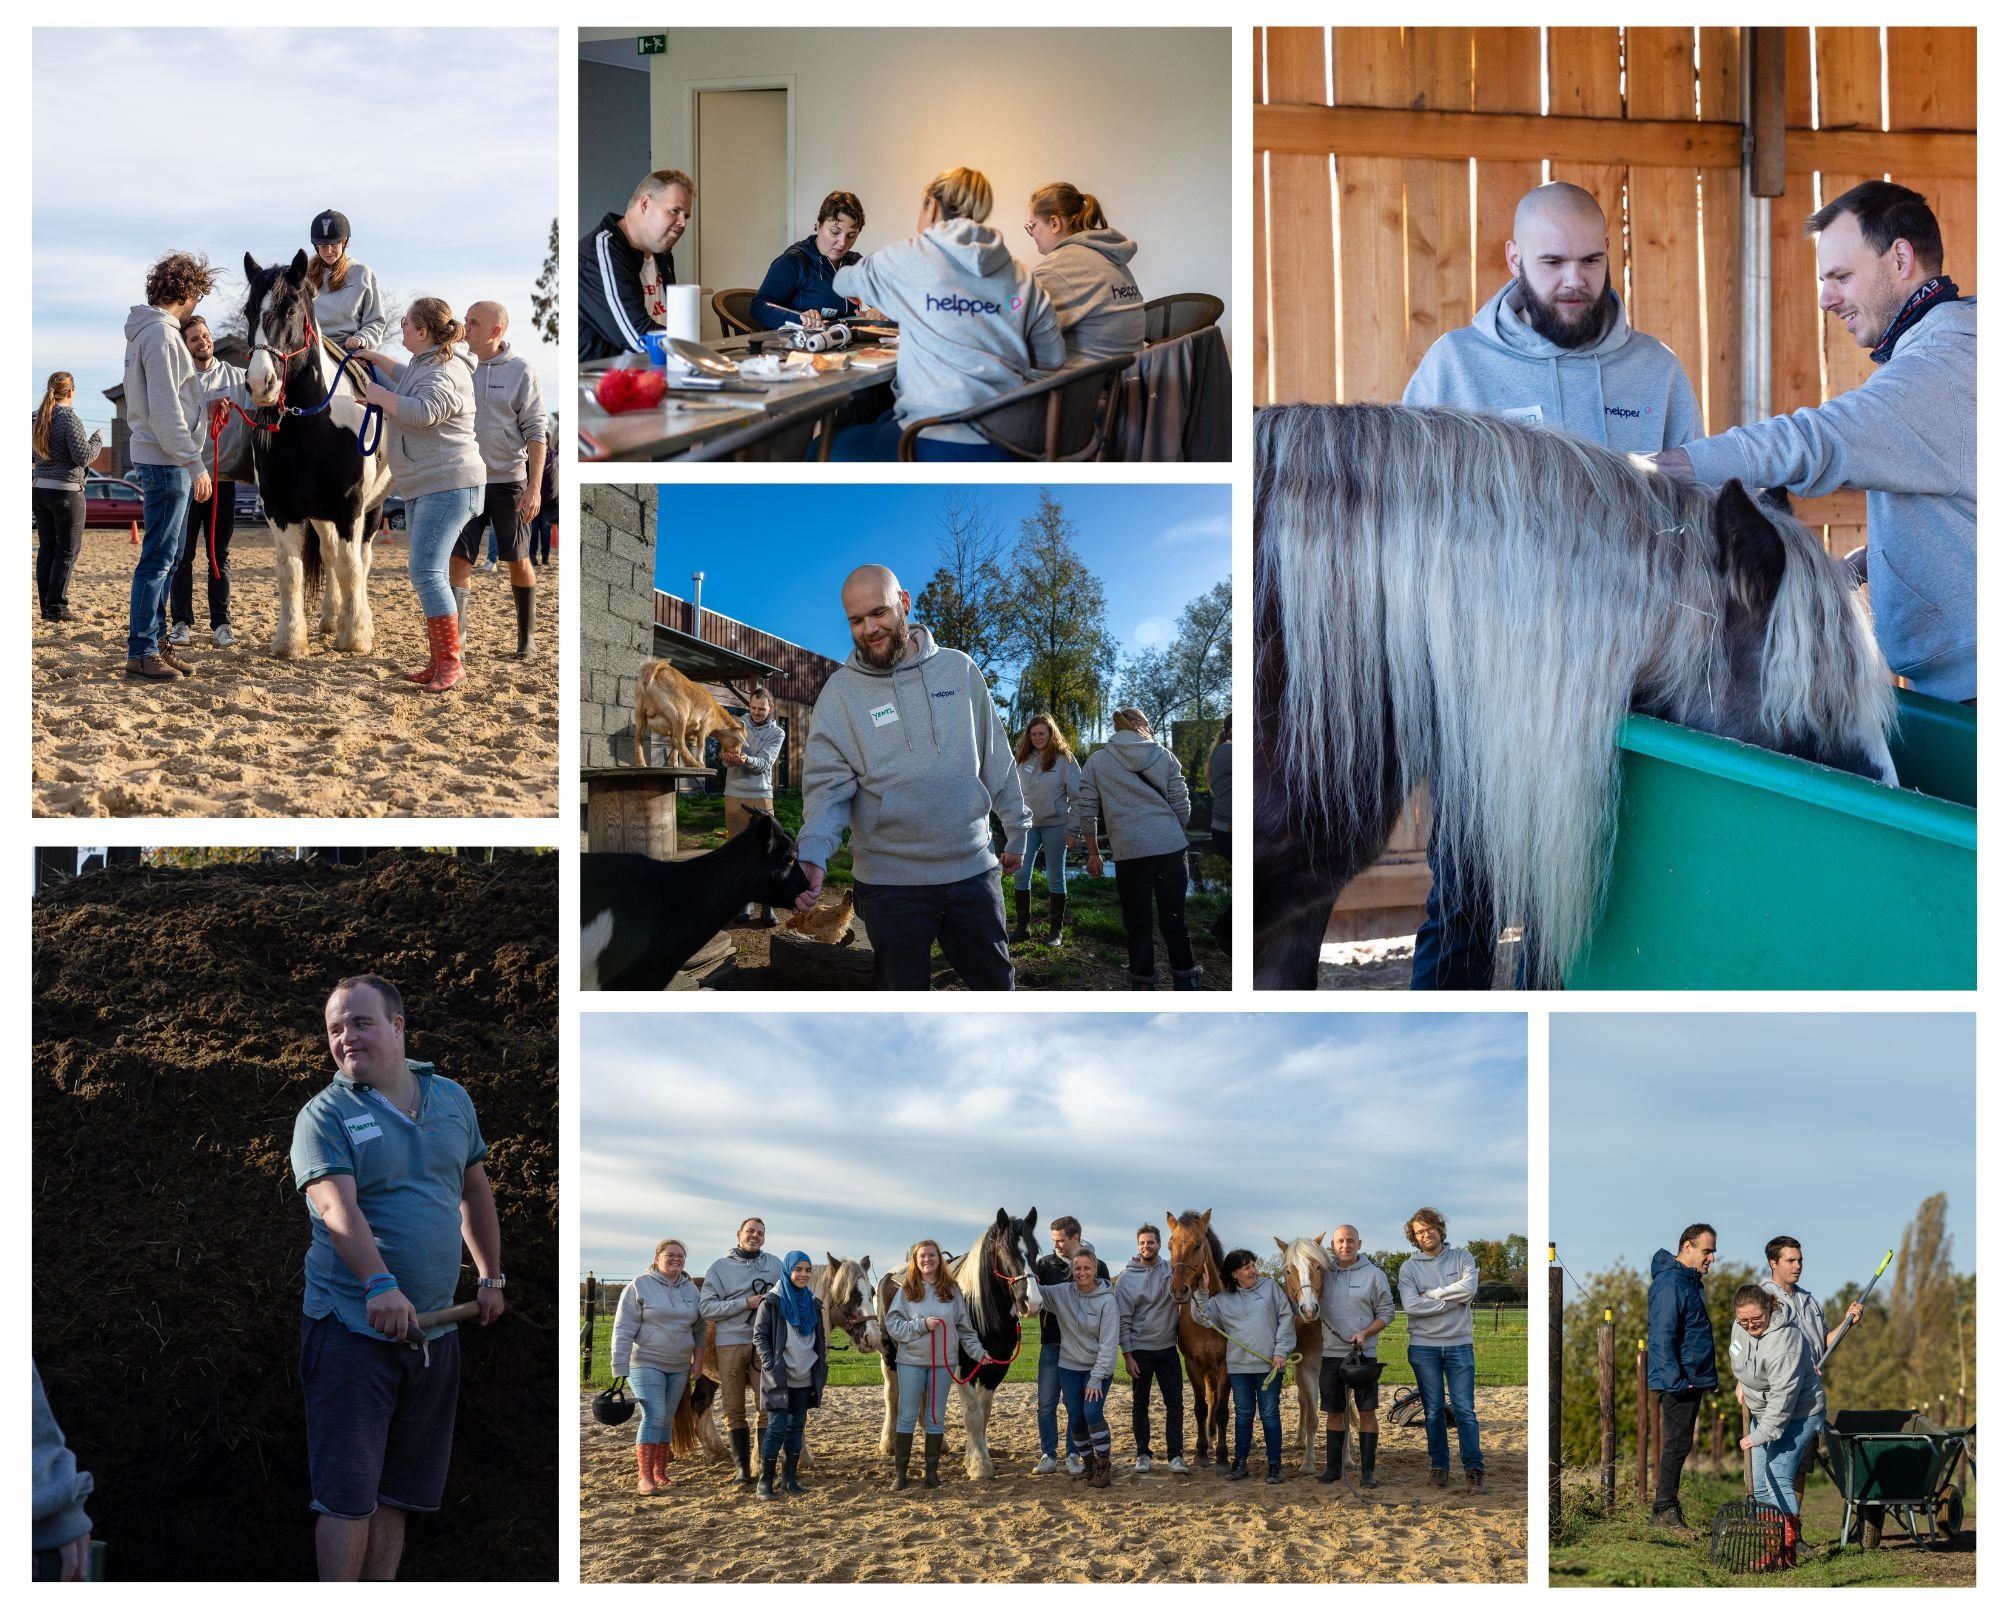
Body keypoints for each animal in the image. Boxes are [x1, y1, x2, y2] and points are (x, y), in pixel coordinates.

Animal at [242, 245, 390, 656]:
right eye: (247, 312)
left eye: (291, 310)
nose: (260, 382)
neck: (311, 424)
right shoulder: (279, 507)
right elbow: (290, 572)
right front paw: (290, 641)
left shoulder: (350, 506)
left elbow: (351, 567)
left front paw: (355, 637)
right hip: (322, 515)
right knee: (329, 553)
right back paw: (329, 619)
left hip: (371, 511)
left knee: (359, 559)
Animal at [876, 1208, 1048, 1480]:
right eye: (1006, 1252)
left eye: (1034, 1252)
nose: (1031, 1302)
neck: (979, 1309)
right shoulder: (963, 1367)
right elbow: (972, 1414)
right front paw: (979, 1466)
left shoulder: (996, 1367)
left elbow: (984, 1412)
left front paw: (974, 1455)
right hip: (889, 1355)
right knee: (892, 1395)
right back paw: (888, 1443)